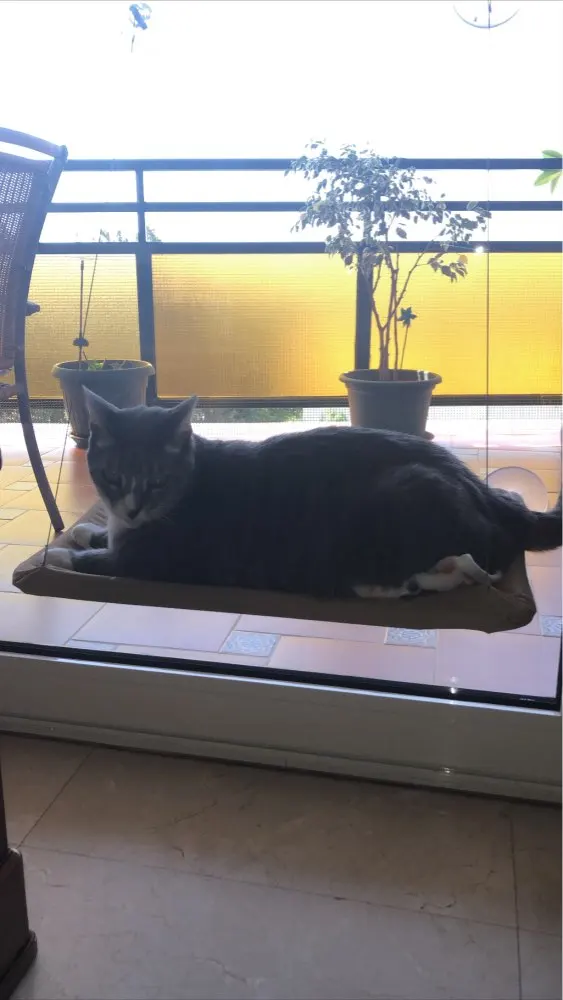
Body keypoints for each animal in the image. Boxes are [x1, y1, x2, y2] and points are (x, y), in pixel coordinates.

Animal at [45, 389, 562, 599]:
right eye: (112, 476)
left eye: (156, 481)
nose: (132, 510)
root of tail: (480, 487)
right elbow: (101, 537)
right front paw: (89, 531)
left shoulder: (153, 561)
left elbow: (104, 560)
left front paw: (66, 555)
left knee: (475, 561)